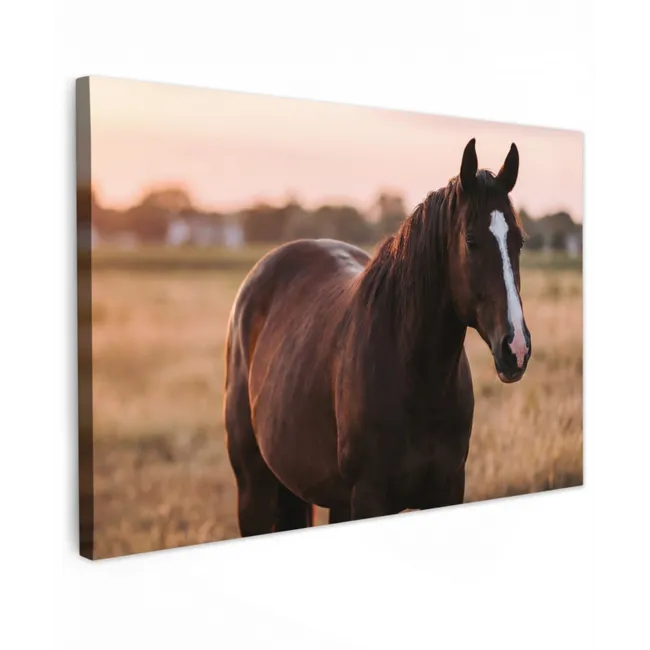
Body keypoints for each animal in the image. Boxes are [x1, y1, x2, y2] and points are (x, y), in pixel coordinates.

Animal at [223, 138, 532, 536]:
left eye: (518, 241)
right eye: (471, 239)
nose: (516, 348)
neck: (414, 378)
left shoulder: (448, 490)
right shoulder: (368, 498)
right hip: (254, 488)